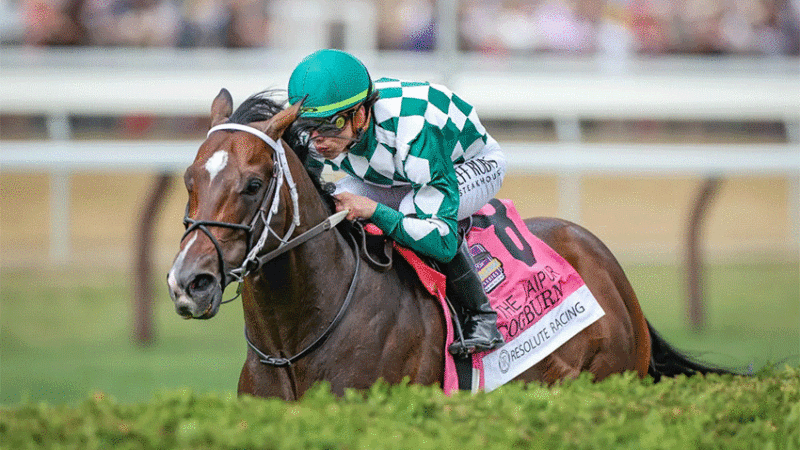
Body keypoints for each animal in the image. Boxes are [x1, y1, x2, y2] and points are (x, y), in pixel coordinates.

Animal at [167, 89, 730, 400]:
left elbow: (435, 226)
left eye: (253, 184)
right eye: (190, 179)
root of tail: (602, 259)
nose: (188, 282)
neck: (293, 344)